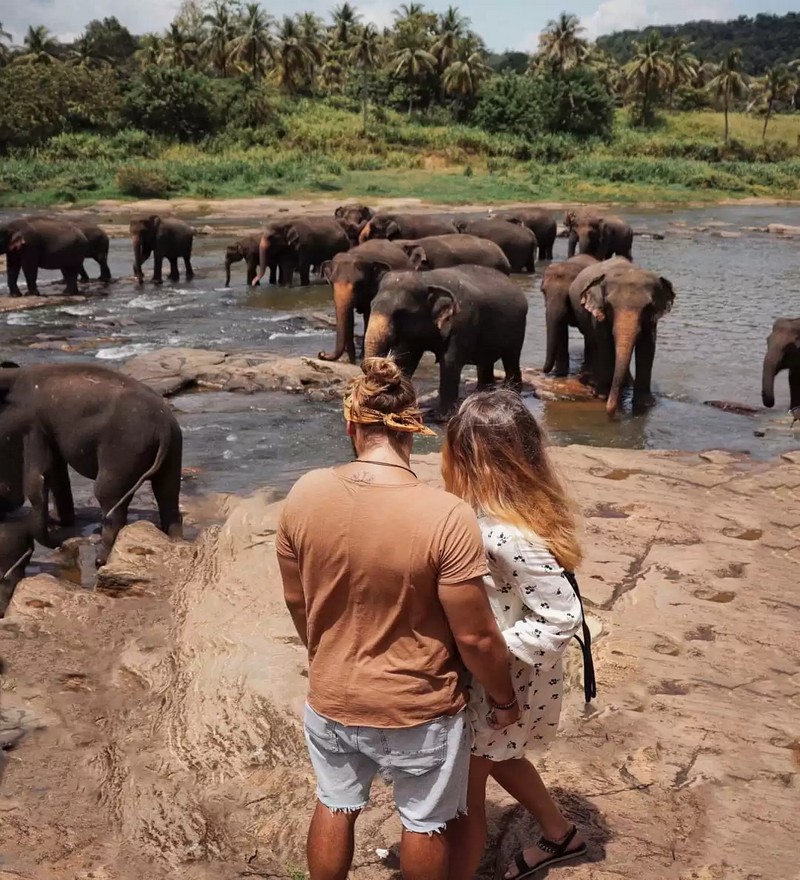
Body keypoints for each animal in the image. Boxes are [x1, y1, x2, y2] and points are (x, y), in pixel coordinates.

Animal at [0, 363, 183, 565]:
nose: (61, 544)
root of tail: (164, 426)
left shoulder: (34, 425)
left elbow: (40, 474)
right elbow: (56, 469)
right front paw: (59, 521)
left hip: (125, 450)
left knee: (108, 497)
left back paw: (101, 560)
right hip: (173, 450)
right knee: (168, 495)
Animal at [364, 265, 529, 416]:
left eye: (401, 313)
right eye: (371, 305)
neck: (426, 278)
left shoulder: (462, 321)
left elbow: (449, 362)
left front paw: (442, 415)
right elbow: (406, 359)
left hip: (517, 328)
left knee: (511, 358)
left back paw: (512, 391)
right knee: (486, 362)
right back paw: (483, 392)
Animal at [569, 259, 675, 416]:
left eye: (648, 306)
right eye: (608, 305)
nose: (612, 412)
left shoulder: (652, 319)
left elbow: (647, 346)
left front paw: (646, 403)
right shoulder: (599, 312)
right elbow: (605, 343)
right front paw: (601, 396)